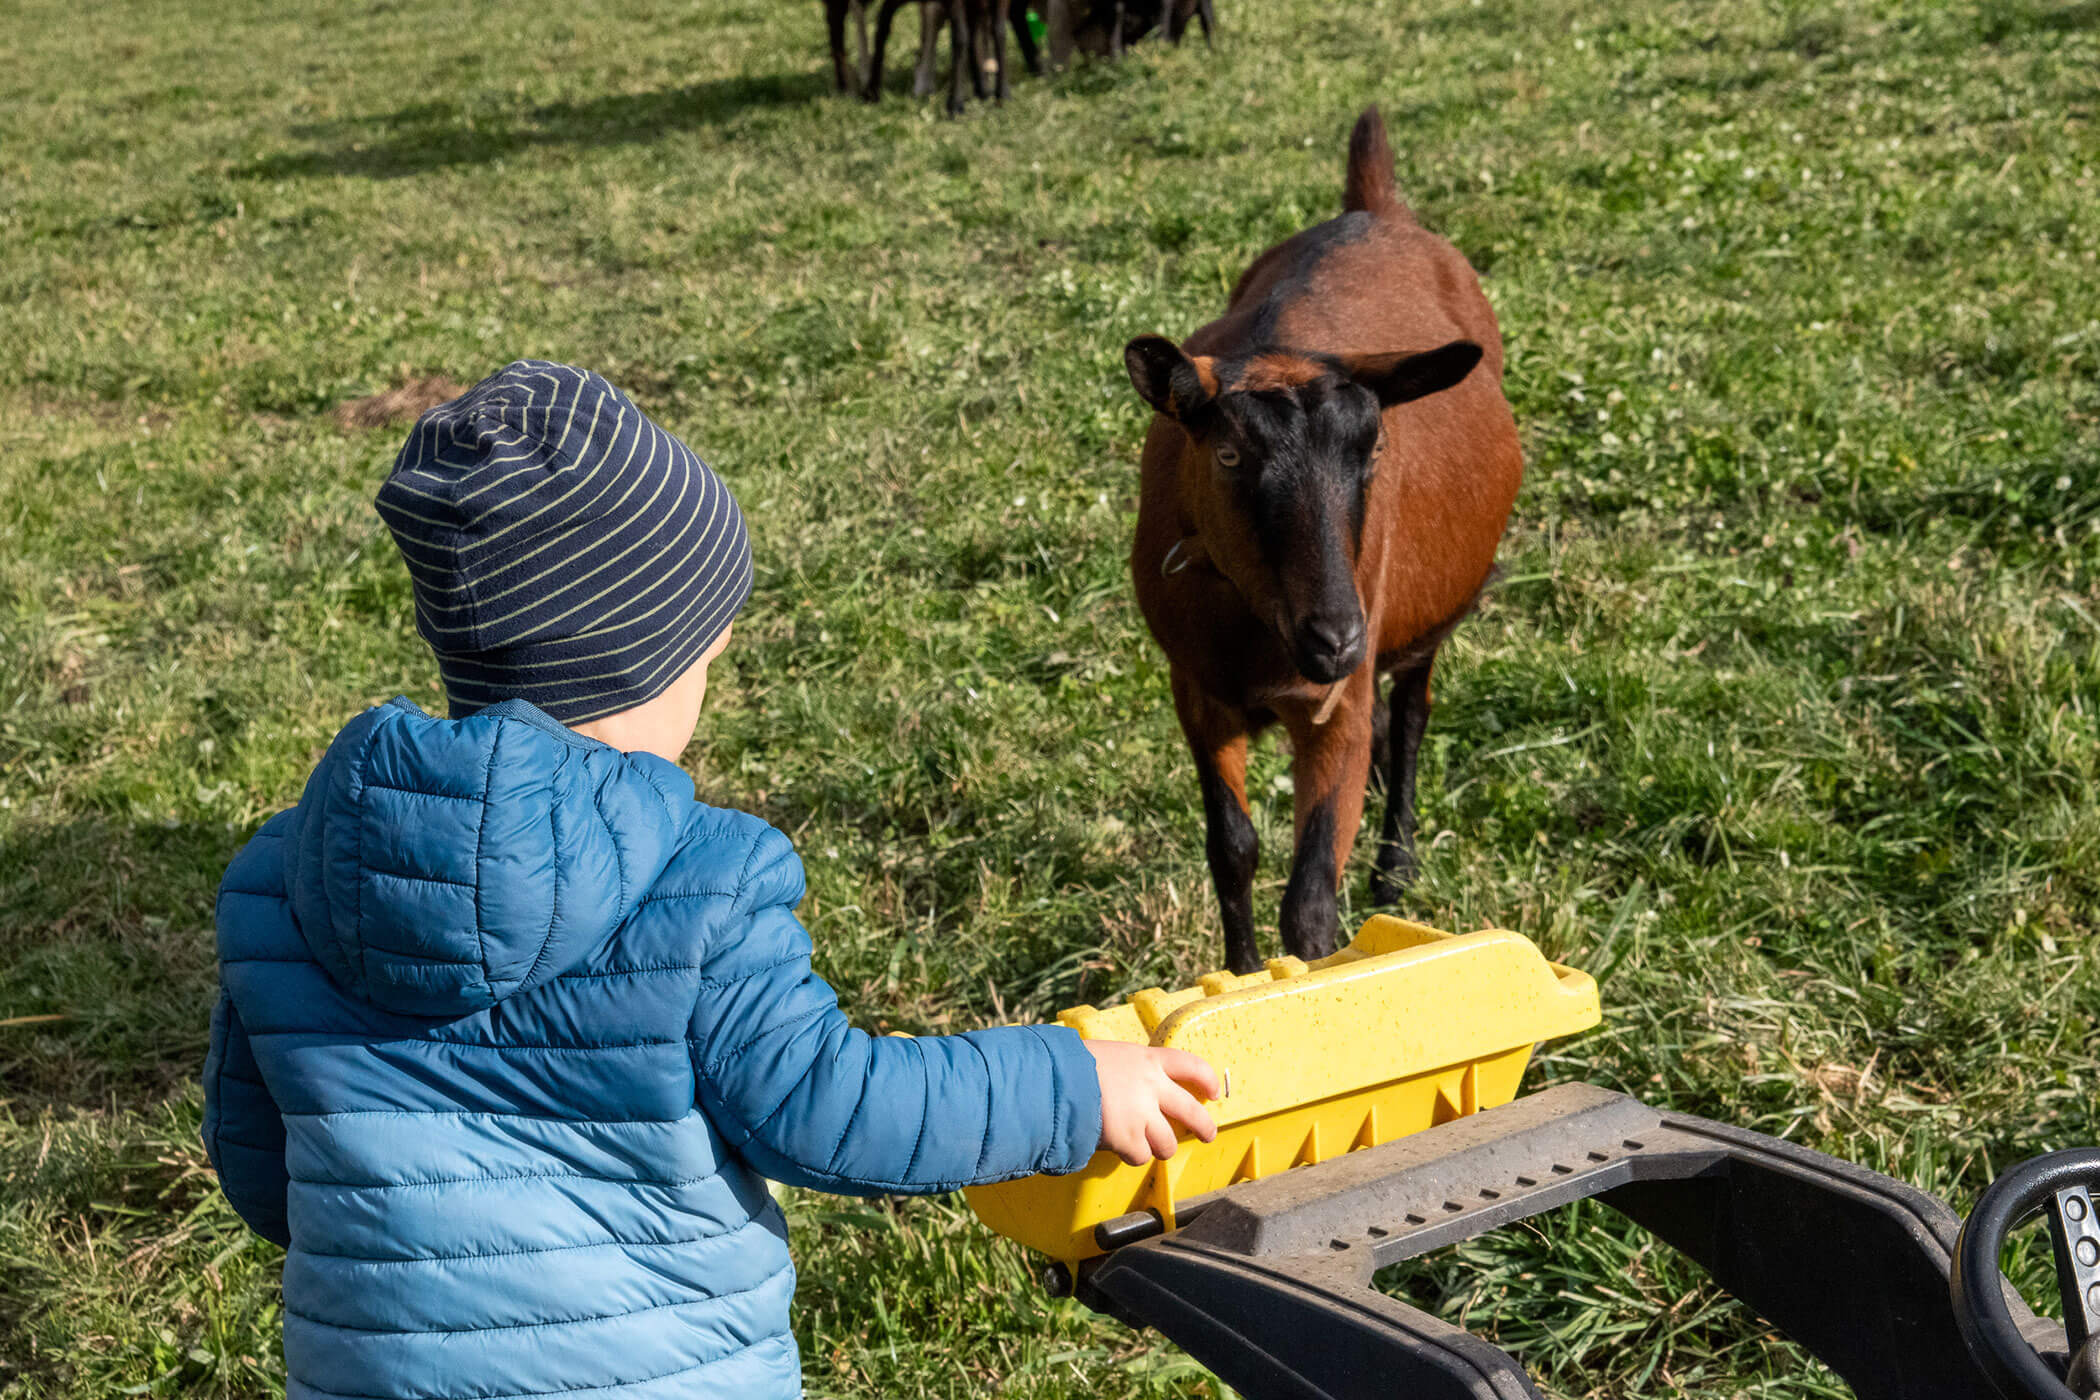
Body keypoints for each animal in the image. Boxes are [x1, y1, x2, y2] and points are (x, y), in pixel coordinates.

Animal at [1123, 106, 1521, 975]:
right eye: (1228, 455)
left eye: (1372, 450)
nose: (1333, 637)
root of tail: (1373, 210)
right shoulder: (1195, 688)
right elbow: (1231, 851)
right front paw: (1243, 976)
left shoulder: (1335, 700)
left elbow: (1310, 903)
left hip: (1417, 617)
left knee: (1410, 713)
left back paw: (1394, 864)